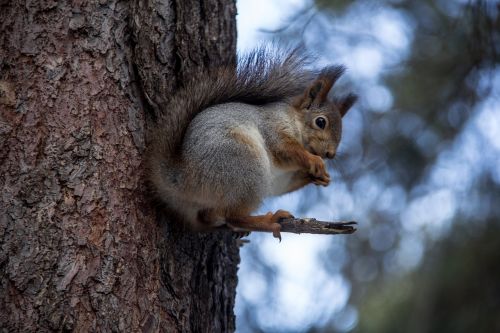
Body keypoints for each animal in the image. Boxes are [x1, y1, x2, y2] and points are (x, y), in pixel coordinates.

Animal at [146, 47, 358, 239]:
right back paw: (268, 221)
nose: (330, 154)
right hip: (243, 164)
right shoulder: (273, 127)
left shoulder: (281, 178)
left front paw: (321, 177)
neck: (293, 119)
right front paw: (314, 162)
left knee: (212, 216)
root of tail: (181, 177)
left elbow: (284, 185)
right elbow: (285, 148)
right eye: (320, 122)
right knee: (233, 217)